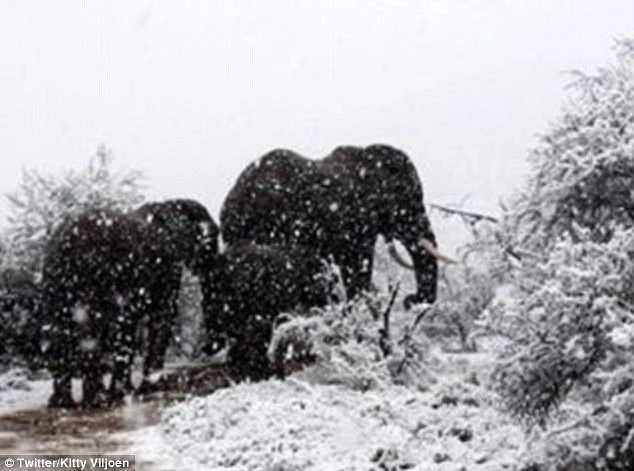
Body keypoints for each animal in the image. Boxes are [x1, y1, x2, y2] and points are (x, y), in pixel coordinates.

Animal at [43, 197, 218, 408]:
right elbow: (162, 316)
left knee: (58, 328)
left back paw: (62, 403)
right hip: (96, 279)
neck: (170, 205)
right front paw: (147, 389)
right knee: (91, 330)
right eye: (212, 240)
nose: (205, 349)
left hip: (56, 281)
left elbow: (131, 324)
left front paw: (129, 391)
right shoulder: (167, 266)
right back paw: (99, 400)